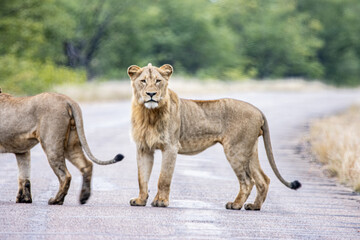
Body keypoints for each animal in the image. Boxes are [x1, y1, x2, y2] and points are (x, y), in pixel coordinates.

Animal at [126, 63, 300, 210]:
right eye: (143, 81)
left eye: (158, 81)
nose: (151, 94)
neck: (148, 114)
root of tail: (257, 110)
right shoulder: (143, 148)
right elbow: (142, 178)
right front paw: (140, 200)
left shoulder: (171, 146)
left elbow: (164, 177)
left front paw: (161, 202)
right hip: (250, 150)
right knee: (263, 179)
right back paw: (254, 206)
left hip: (236, 150)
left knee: (247, 181)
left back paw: (235, 205)